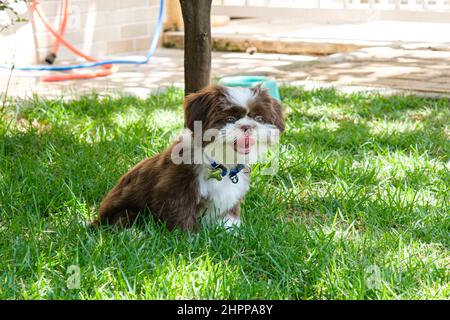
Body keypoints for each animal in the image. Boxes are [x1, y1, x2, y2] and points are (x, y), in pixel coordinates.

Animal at [92, 84, 284, 230]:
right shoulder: (176, 187)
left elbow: (229, 214)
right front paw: (187, 239)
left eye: (259, 119)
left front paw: (232, 232)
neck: (219, 162)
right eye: (229, 118)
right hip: (126, 211)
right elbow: (179, 212)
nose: (247, 126)